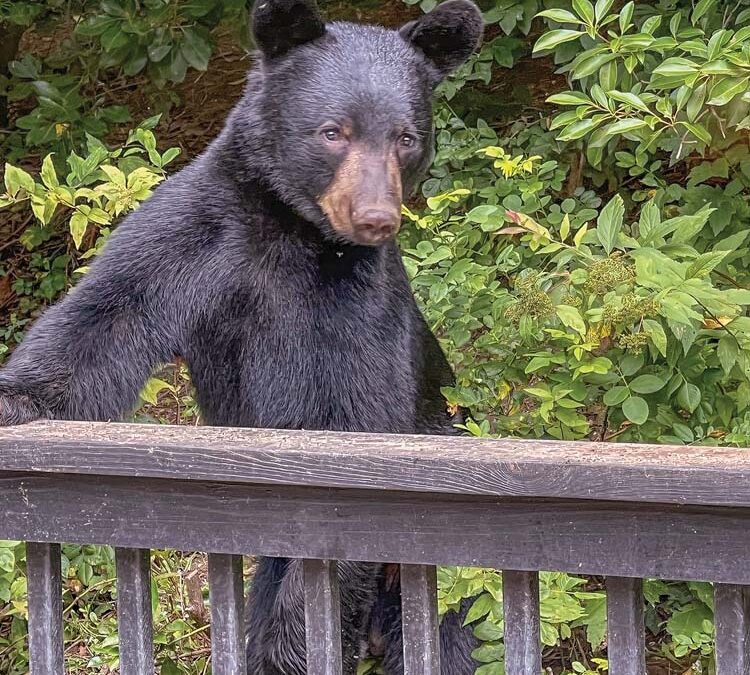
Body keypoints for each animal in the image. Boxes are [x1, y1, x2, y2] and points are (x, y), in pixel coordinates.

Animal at [0, 0, 484, 672]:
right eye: (332, 131)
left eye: (406, 137)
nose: (375, 218)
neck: (290, 229)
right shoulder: (196, 234)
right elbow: (103, 320)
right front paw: (16, 401)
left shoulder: (358, 304)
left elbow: (355, 433)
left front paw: (286, 650)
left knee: (452, 632)